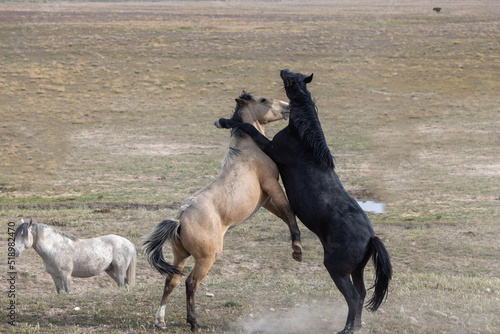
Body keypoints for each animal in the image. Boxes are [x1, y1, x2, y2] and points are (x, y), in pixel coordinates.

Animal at [143, 92, 302, 332]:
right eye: (263, 100)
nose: (288, 107)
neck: (248, 150)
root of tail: (179, 221)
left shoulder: (265, 200)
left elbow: (283, 214)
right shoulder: (271, 185)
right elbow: (288, 211)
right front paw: (297, 247)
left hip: (180, 256)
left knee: (171, 281)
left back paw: (160, 320)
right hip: (207, 258)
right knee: (190, 282)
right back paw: (193, 322)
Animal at [217, 69, 392, 332]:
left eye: (291, 79)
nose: (283, 70)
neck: (303, 139)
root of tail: (370, 238)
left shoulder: (271, 146)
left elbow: (247, 125)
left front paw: (223, 121)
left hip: (337, 270)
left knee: (352, 297)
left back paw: (346, 328)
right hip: (357, 270)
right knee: (361, 294)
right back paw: (357, 326)